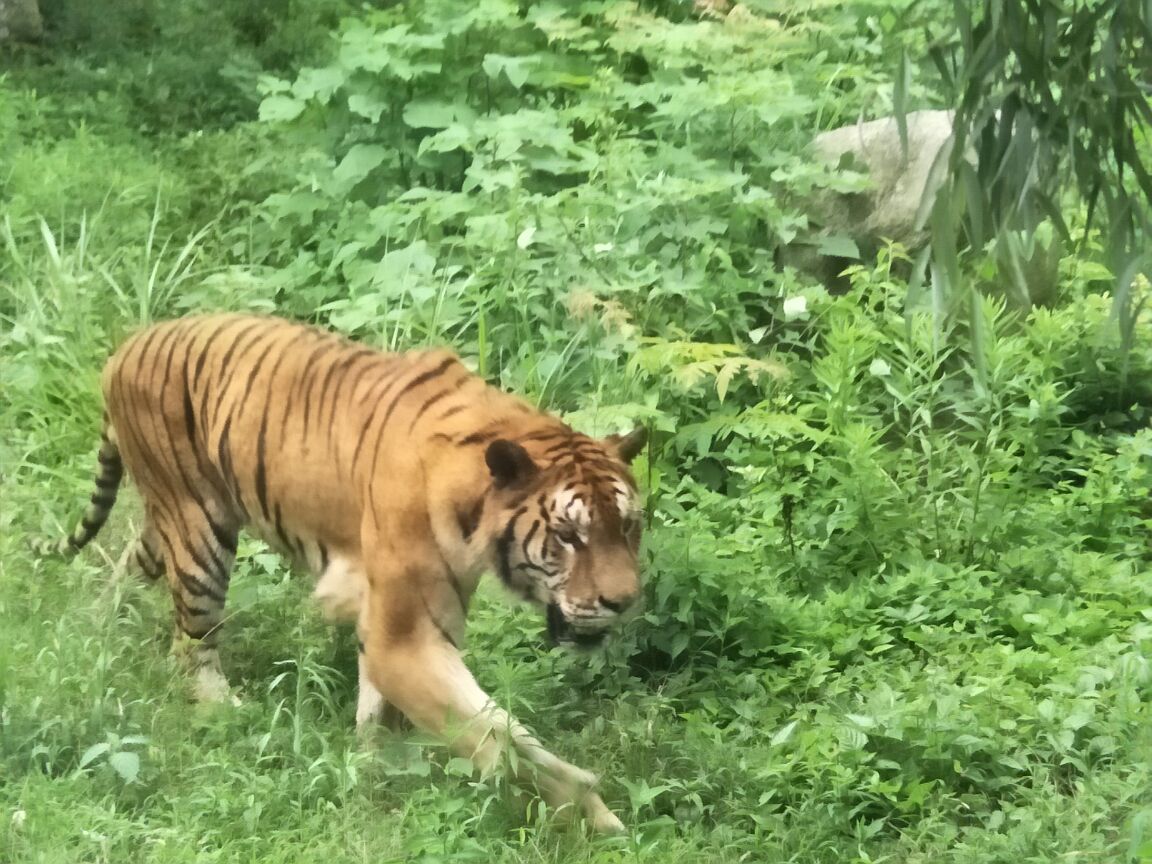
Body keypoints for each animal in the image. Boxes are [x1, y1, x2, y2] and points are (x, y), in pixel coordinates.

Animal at [38, 315, 649, 834]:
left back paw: (96, 630)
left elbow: (387, 709)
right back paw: (226, 713)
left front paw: (375, 767)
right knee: (190, 644)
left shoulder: (404, 620)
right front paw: (593, 813)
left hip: (171, 518)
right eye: (569, 536)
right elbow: (498, 733)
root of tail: (126, 347)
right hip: (198, 532)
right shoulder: (407, 638)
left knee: (128, 567)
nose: (625, 601)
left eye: (628, 526)